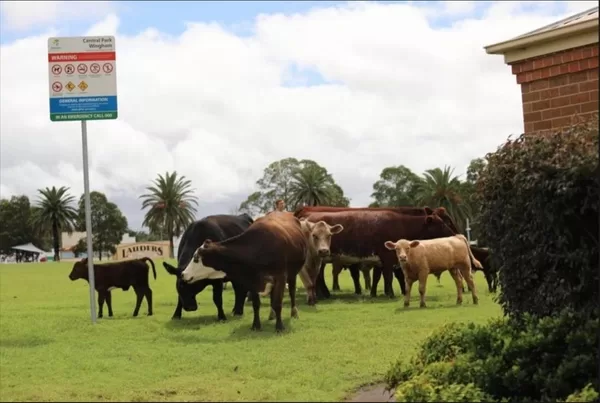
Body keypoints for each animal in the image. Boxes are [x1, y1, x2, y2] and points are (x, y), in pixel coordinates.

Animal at [179, 213, 310, 332]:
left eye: (196, 258)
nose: (183, 274)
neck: (259, 249)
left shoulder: (280, 277)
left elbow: (278, 303)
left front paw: (279, 327)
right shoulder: (252, 279)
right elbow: (256, 304)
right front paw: (256, 325)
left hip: (292, 274)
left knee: (292, 291)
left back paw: (294, 313)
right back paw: (271, 314)